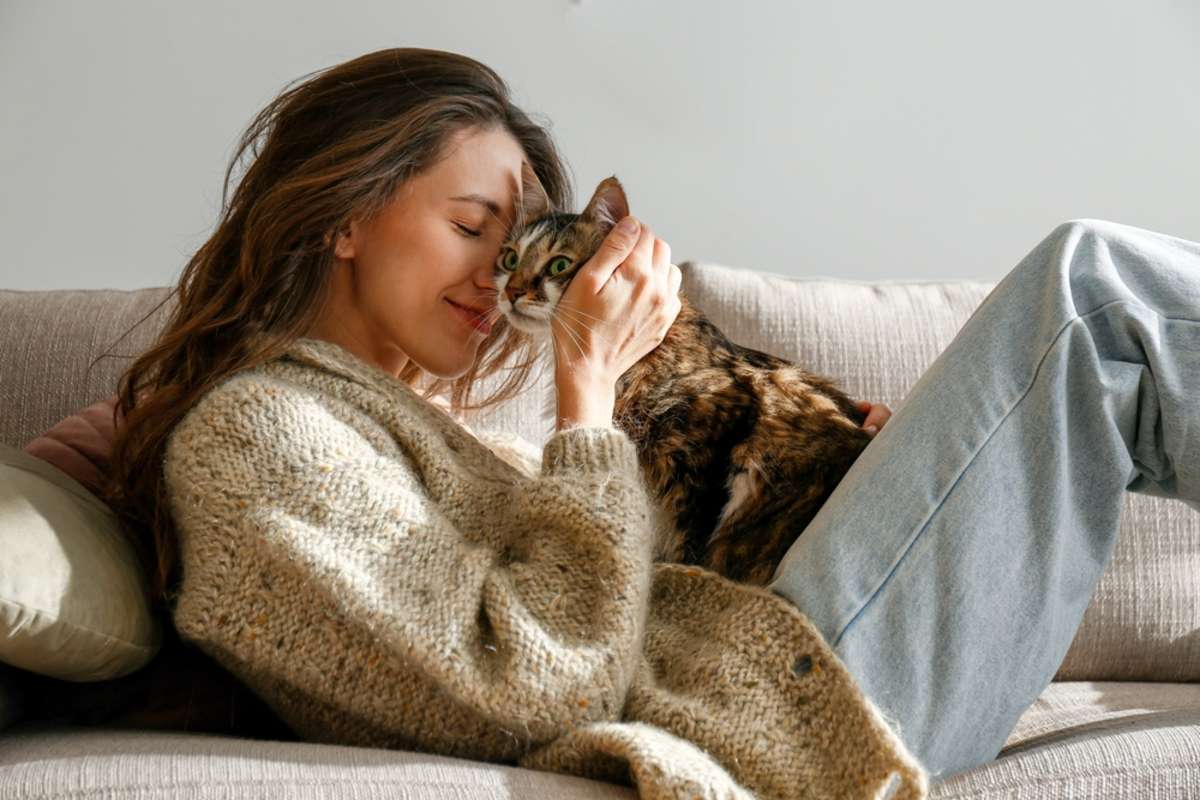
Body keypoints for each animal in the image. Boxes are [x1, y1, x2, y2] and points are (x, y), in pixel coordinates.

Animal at [492, 164, 878, 587]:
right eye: (509, 259)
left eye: (559, 265)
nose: (511, 292)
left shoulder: (708, 446)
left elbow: (688, 539)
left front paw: (679, 571)